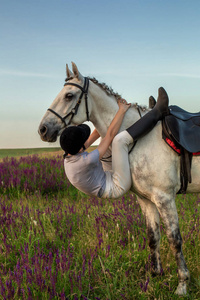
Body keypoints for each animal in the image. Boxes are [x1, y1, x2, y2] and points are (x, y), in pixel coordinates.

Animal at [38, 61, 200, 296]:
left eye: (69, 95)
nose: (43, 129)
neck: (140, 138)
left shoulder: (165, 198)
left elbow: (174, 239)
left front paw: (182, 284)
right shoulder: (147, 200)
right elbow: (153, 237)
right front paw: (155, 276)